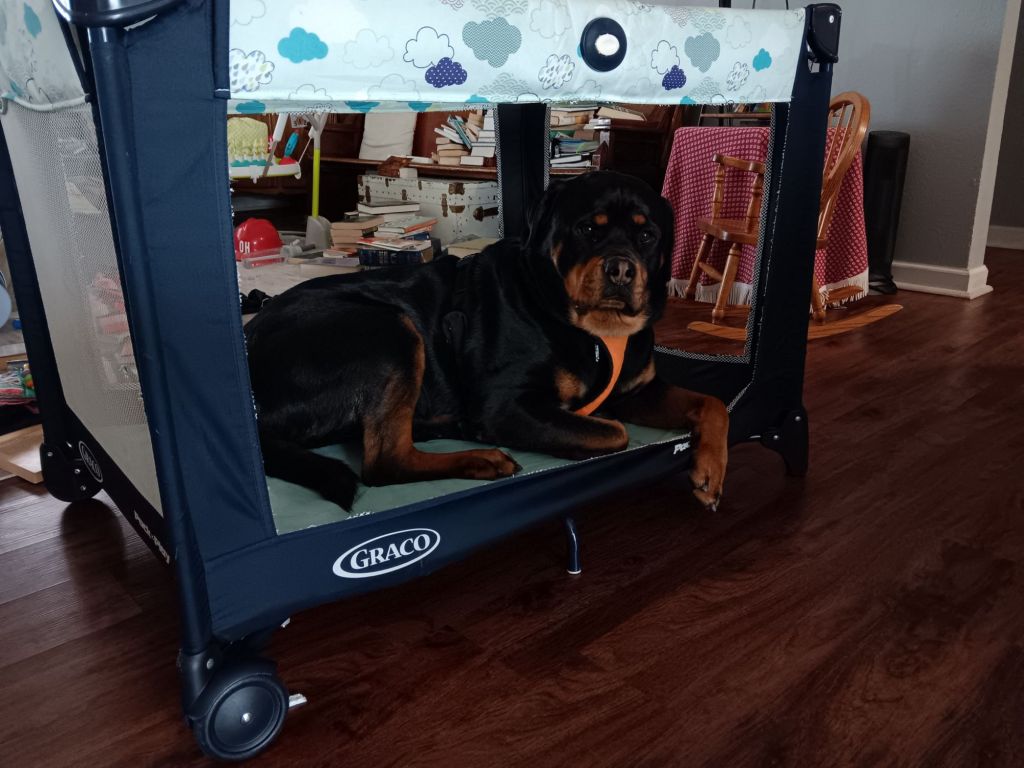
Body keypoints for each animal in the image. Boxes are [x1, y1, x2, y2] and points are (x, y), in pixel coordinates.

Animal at [244, 171, 728, 510]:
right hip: (389, 330)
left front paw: (710, 472)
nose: (622, 269)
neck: (596, 329)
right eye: (588, 230)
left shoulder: (639, 389)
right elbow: (614, 431)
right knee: (384, 462)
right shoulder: (507, 405)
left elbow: (712, 403)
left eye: (648, 236)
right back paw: (480, 457)